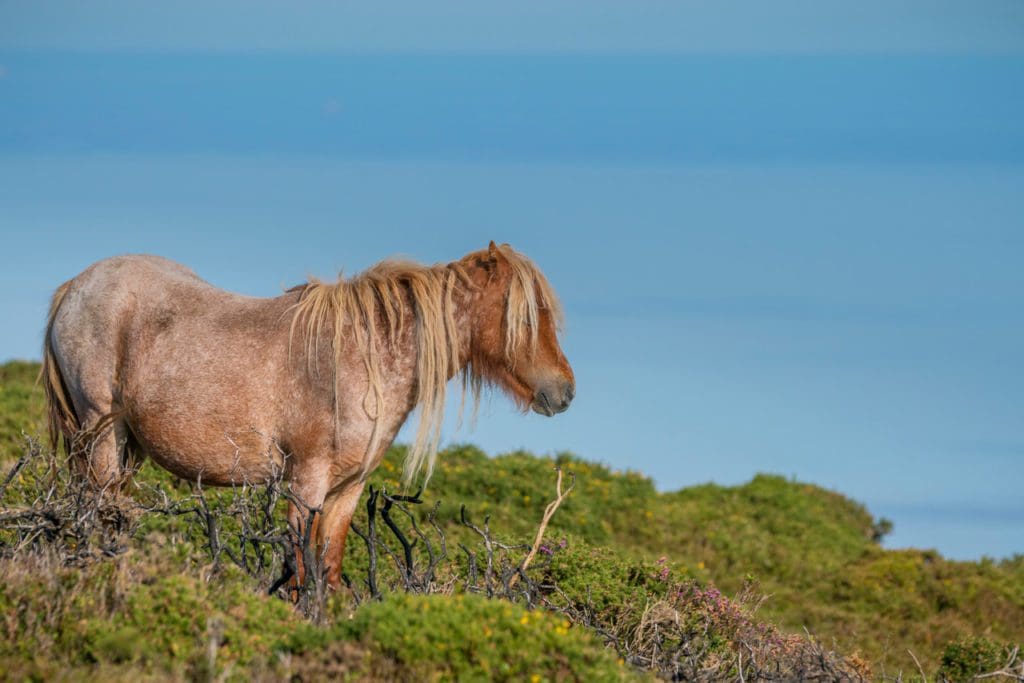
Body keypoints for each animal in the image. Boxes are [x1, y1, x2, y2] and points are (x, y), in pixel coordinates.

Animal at [41, 241, 574, 589]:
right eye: (526, 316)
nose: (564, 390)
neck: (363, 356)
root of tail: (75, 286)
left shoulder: (346, 490)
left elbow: (328, 569)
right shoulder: (305, 483)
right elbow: (298, 569)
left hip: (126, 447)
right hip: (102, 434)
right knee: (100, 514)